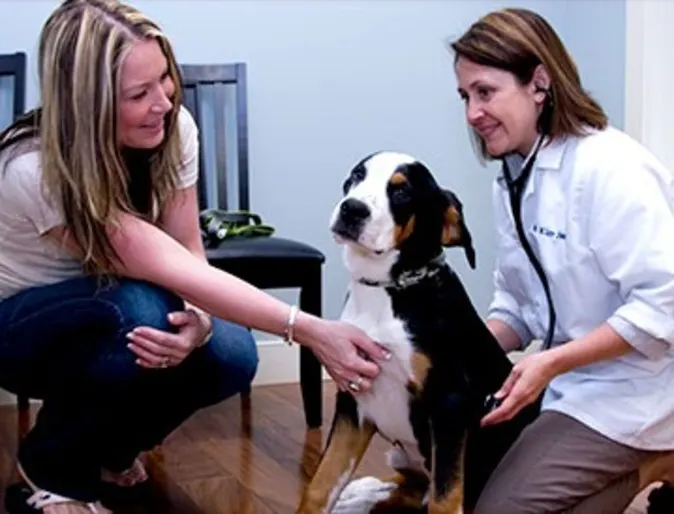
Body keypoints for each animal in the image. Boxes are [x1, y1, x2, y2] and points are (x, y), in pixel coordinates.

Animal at [296, 152, 512, 512]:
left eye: (401, 192)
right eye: (357, 176)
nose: (352, 209)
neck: (386, 288)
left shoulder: (449, 403)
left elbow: (445, 497)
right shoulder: (352, 399)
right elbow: (321, 483)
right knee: (409, 487)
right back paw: (359, 492)